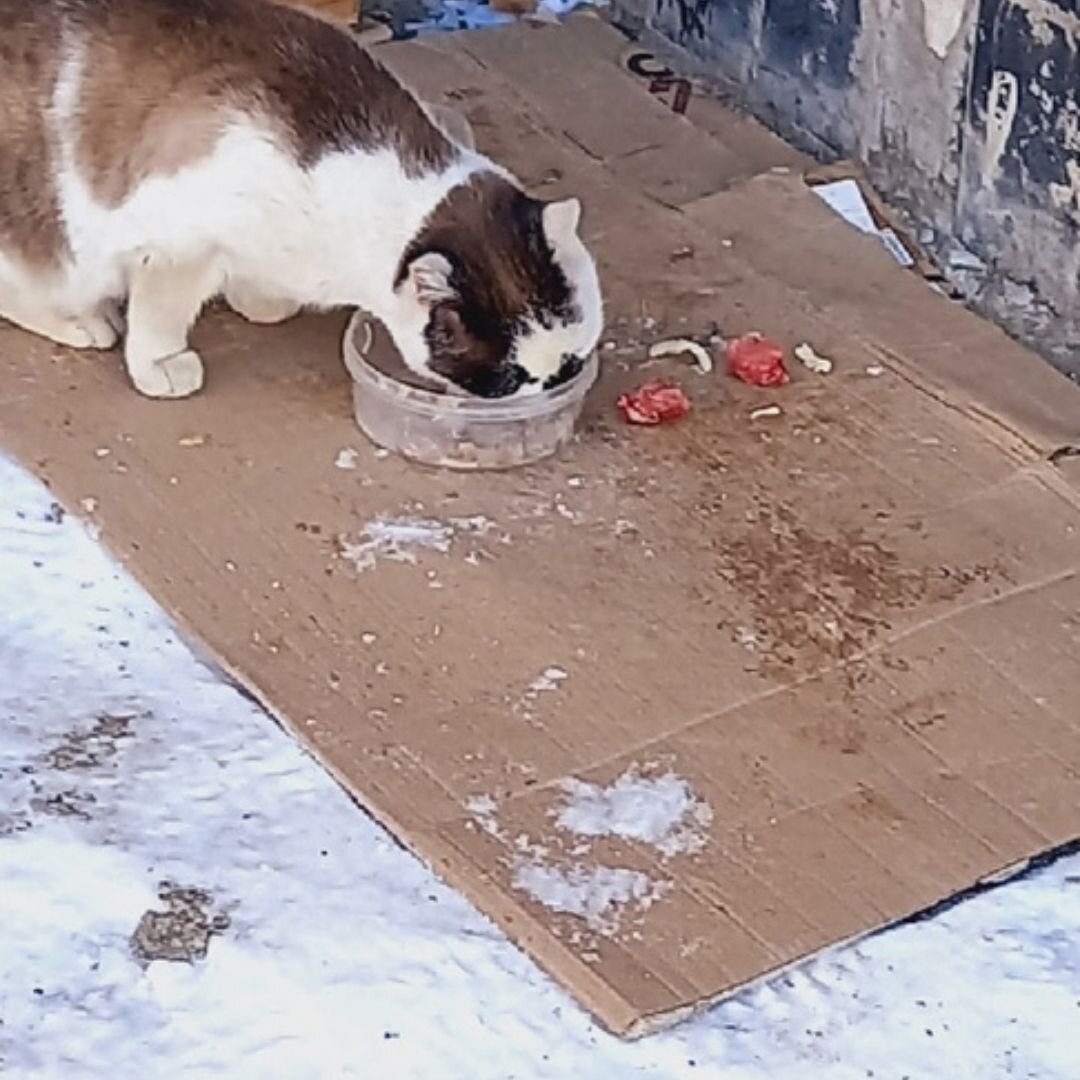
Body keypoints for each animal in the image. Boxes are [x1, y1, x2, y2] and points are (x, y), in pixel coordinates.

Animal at [0, 0, 604, 399]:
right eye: (511, 378)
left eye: (570, 361)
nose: (551, 386)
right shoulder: (175, 246)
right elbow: (160, 319)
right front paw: (163, 366)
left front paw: (259, 300)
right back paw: (85, 321)